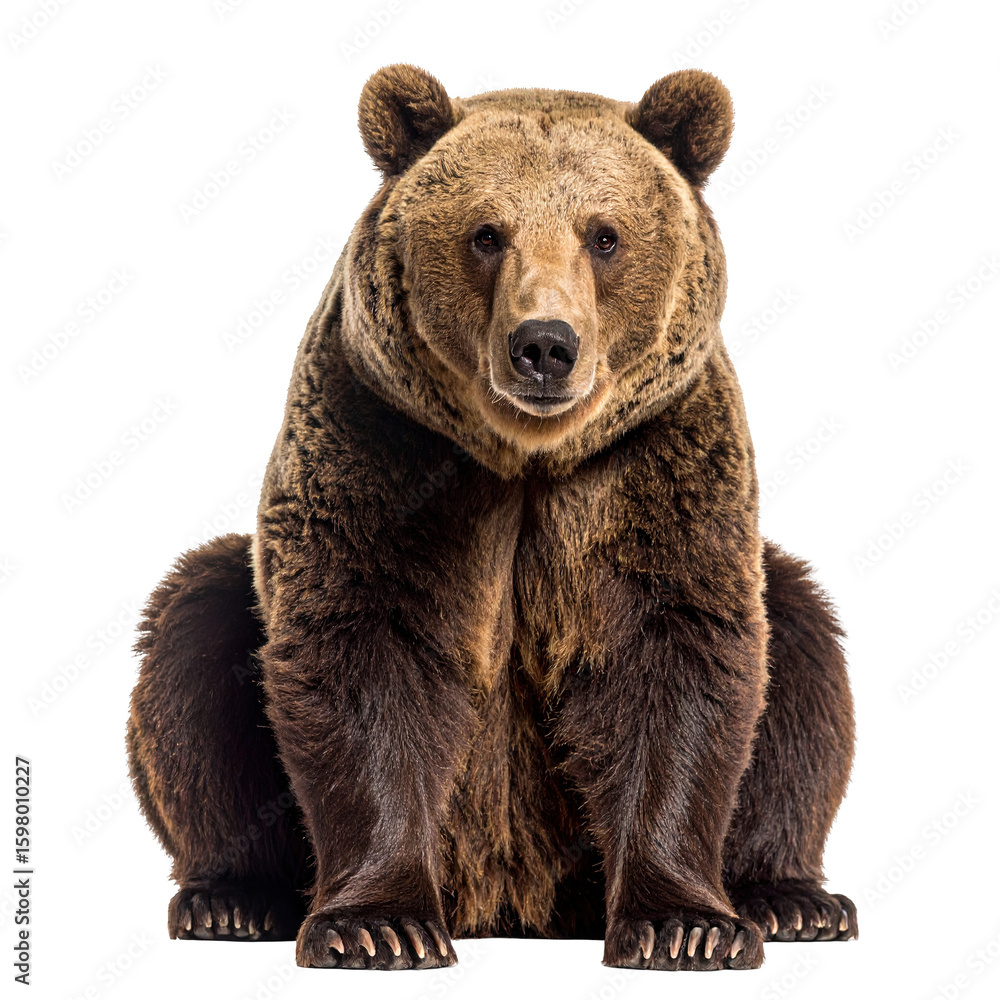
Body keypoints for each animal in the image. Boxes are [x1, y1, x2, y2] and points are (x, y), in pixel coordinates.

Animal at [127, 64, 857, 972]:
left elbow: (678, 657)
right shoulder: (384, 444)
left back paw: (791, 899)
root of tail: (515, 905)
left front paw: (687, 926)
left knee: (801, 646)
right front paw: (378, 925)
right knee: (195, 635)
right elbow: (362, 654)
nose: (545, 344)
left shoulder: (655, 465)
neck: (526, 461)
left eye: (604, 235)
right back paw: (230, 897)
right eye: (485, 234)